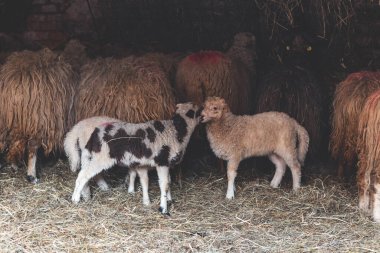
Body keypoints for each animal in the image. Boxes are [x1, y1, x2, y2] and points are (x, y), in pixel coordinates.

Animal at [71, 102, 202, 214]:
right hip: (101, 158)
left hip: (92, 156)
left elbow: (167, 182)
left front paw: (169, 200)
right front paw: (163, 209)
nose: (204, 117)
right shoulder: (162, 161)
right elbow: (164, 185)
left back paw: (84, 196)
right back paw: (75, 199)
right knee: (83, 175)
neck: (177, 131)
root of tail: (95, 133)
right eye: (199, 111)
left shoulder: (165, 163)